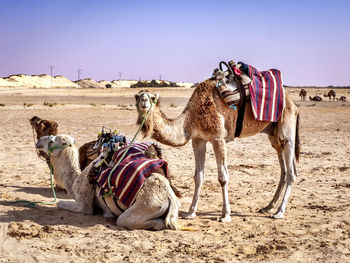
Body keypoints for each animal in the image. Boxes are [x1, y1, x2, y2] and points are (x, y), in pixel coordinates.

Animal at [135, 79, 300, 222]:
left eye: (152, 98)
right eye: (137, 96)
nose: (143, 101)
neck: (190, 119)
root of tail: (294, 105)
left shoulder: (218, 138)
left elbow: (223, 177)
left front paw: (225, 215)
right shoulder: (198, 140)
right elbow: (198, 176)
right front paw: (190, 212)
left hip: (286, 127)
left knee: (291, 171)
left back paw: (279, 212)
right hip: (273, 134)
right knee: (284, 168)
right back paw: (268, 207)